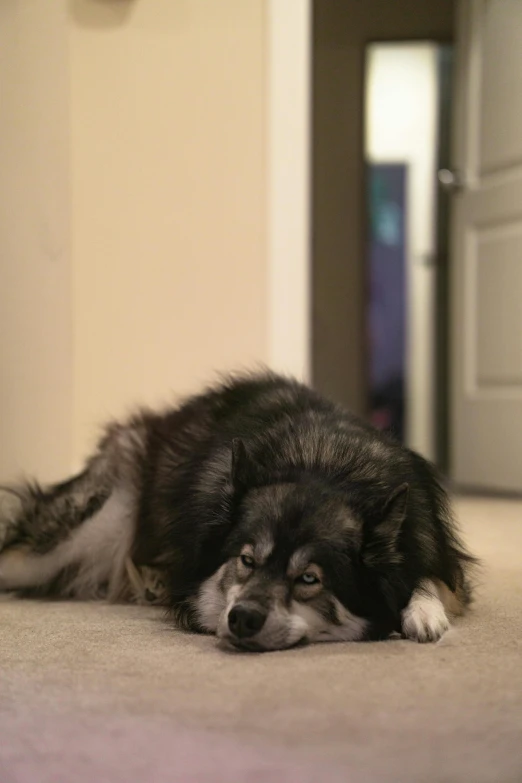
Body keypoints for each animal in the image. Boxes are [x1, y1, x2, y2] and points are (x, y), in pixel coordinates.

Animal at [0, 374, 476, 648]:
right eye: (246, 560)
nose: (242, 618)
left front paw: (423, 612)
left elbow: (431, 579)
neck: (322, 466)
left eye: (309, 579)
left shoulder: (434, 548)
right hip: (89, 528)